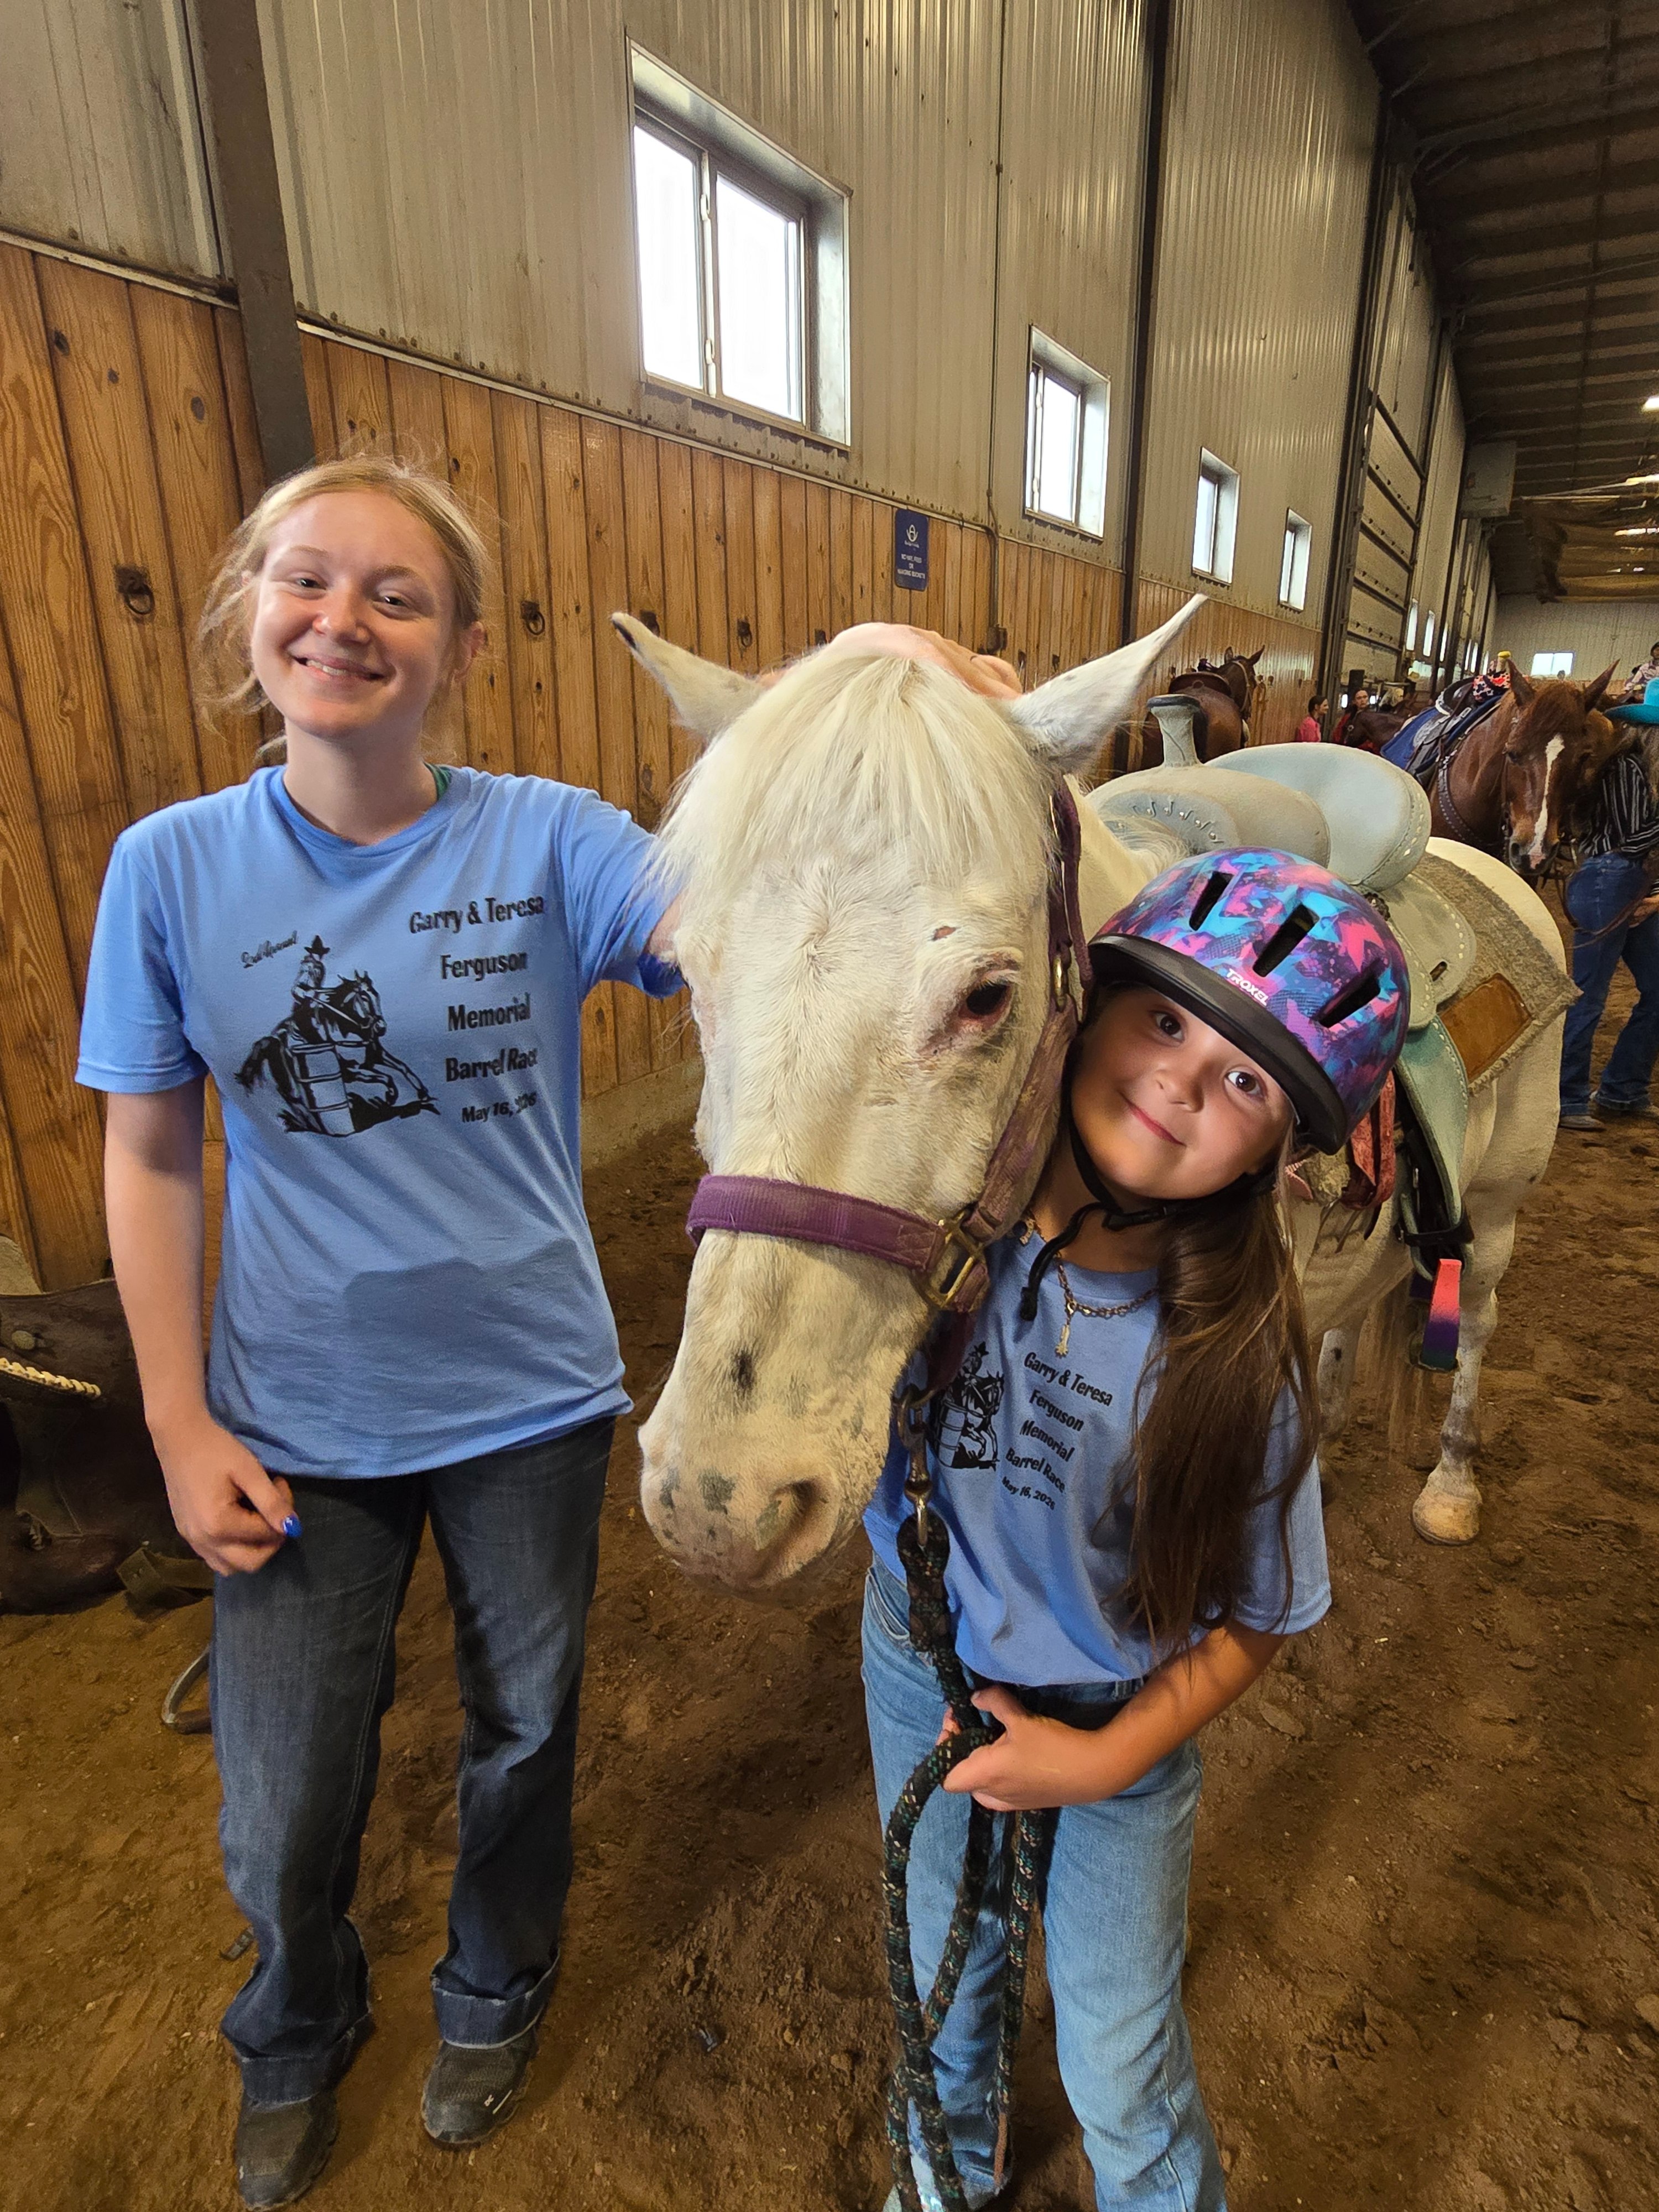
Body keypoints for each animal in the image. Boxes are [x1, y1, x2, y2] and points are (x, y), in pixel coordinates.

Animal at [614, 606, 1563, 1585]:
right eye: (689, 970)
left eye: (986, 997)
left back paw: (1451, 1484)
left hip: (1496, 1219)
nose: (725, 1505)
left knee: (1475, 1322)